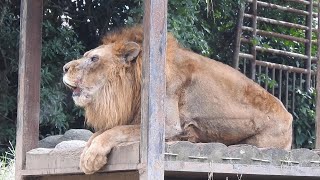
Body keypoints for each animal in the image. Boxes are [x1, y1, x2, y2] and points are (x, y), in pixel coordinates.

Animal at [62, 25, 292, 174]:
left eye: (94, 59)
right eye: (86, 55)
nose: (64, 68)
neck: (134, 83)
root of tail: (288, 115)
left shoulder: (165, 125)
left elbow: (115, 131)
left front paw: (91, 158)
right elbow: (98, 134)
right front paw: (87, 151)